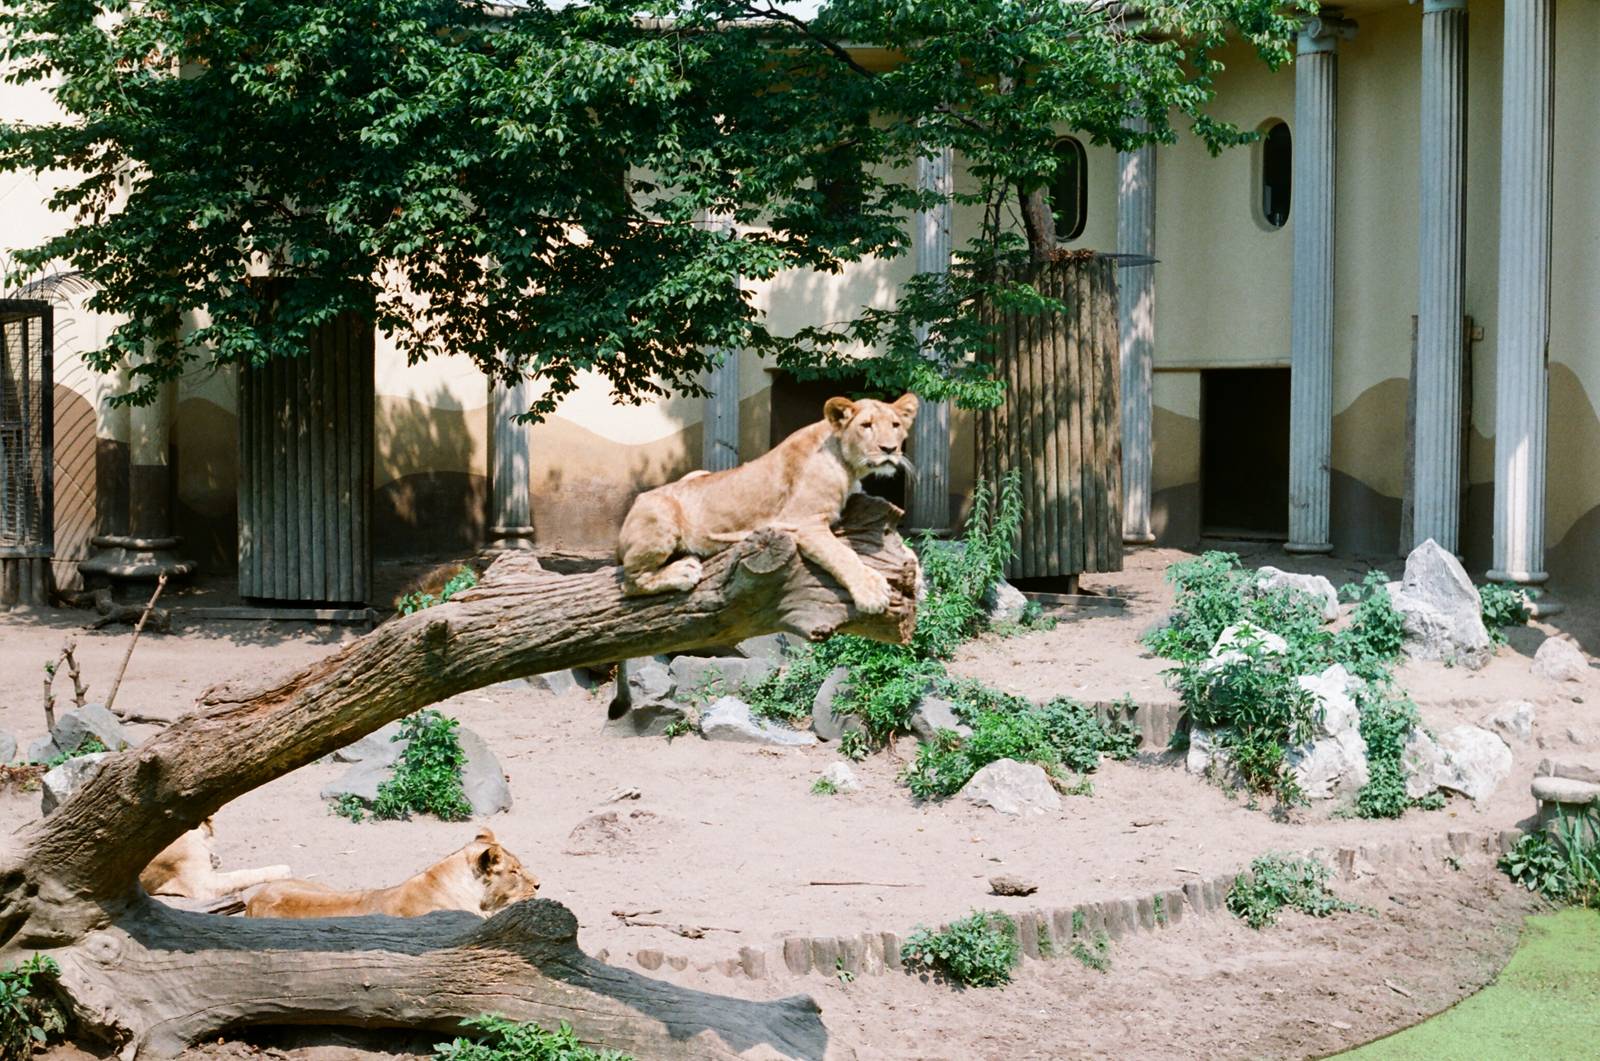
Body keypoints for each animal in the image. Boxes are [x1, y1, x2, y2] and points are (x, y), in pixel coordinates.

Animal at [618, 393, 918, 613]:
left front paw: (917, 575)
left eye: (895, 425)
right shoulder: (802, 521)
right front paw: (871, 592)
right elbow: (842, 554)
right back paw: (683, 572)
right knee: (630, 581)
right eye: (866, 426)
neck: (850, 467)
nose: (890, 449)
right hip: (660, 517)